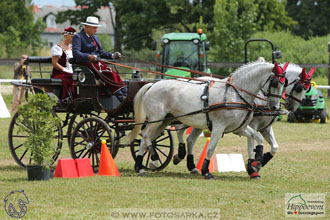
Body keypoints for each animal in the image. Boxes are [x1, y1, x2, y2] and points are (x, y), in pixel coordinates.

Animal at [124, 60, 288, 179]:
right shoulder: (219, 127)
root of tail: (152, 84)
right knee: (146, 135)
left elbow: (257, 138)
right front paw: (206, 171)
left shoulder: (239, 128)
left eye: (284, 84)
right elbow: (211, 148)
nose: (274, 107)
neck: (236, 94)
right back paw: (151, 161)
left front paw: (257, 162)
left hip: (166, 120)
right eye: (275, 83)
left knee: (148, 139)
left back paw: (142, 166)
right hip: (156, 118)